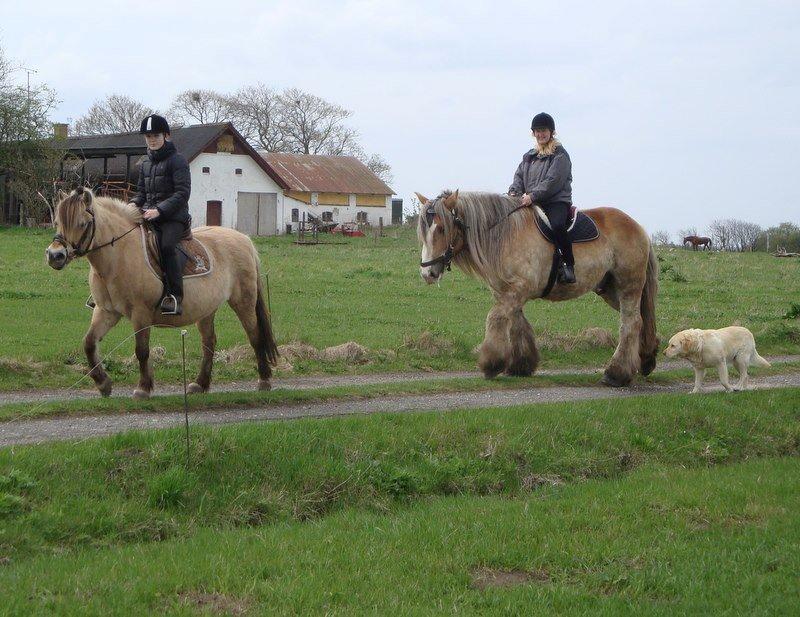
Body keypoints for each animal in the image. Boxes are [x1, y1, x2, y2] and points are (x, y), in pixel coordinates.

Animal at [47, 188, 280, 398]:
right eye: (57, 222)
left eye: (82, 223)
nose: (55, 255)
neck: (119, 256)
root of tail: (245, 240)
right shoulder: (106, 312)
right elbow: (89, 343)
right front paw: (103, 384)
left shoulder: (141, 313)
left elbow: (141, 350)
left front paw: (143, 388)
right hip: (207, 310)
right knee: (209, 343)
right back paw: (200, 384)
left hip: (243, 302)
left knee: (254, 336)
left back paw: (264, 380)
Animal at [416, 190, 660, 388]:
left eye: (441, 228)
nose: (427, 273)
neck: (504, 234)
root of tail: (638, 227)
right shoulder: (508, 293)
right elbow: (517, 324)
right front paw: (521, 364)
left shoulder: (516, 291)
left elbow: (495, 318)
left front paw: (491, 362)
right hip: (610, 290)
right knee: (640, 320)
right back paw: (646, 358)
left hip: (628, 286)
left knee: (631, 323)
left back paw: (616, 373)